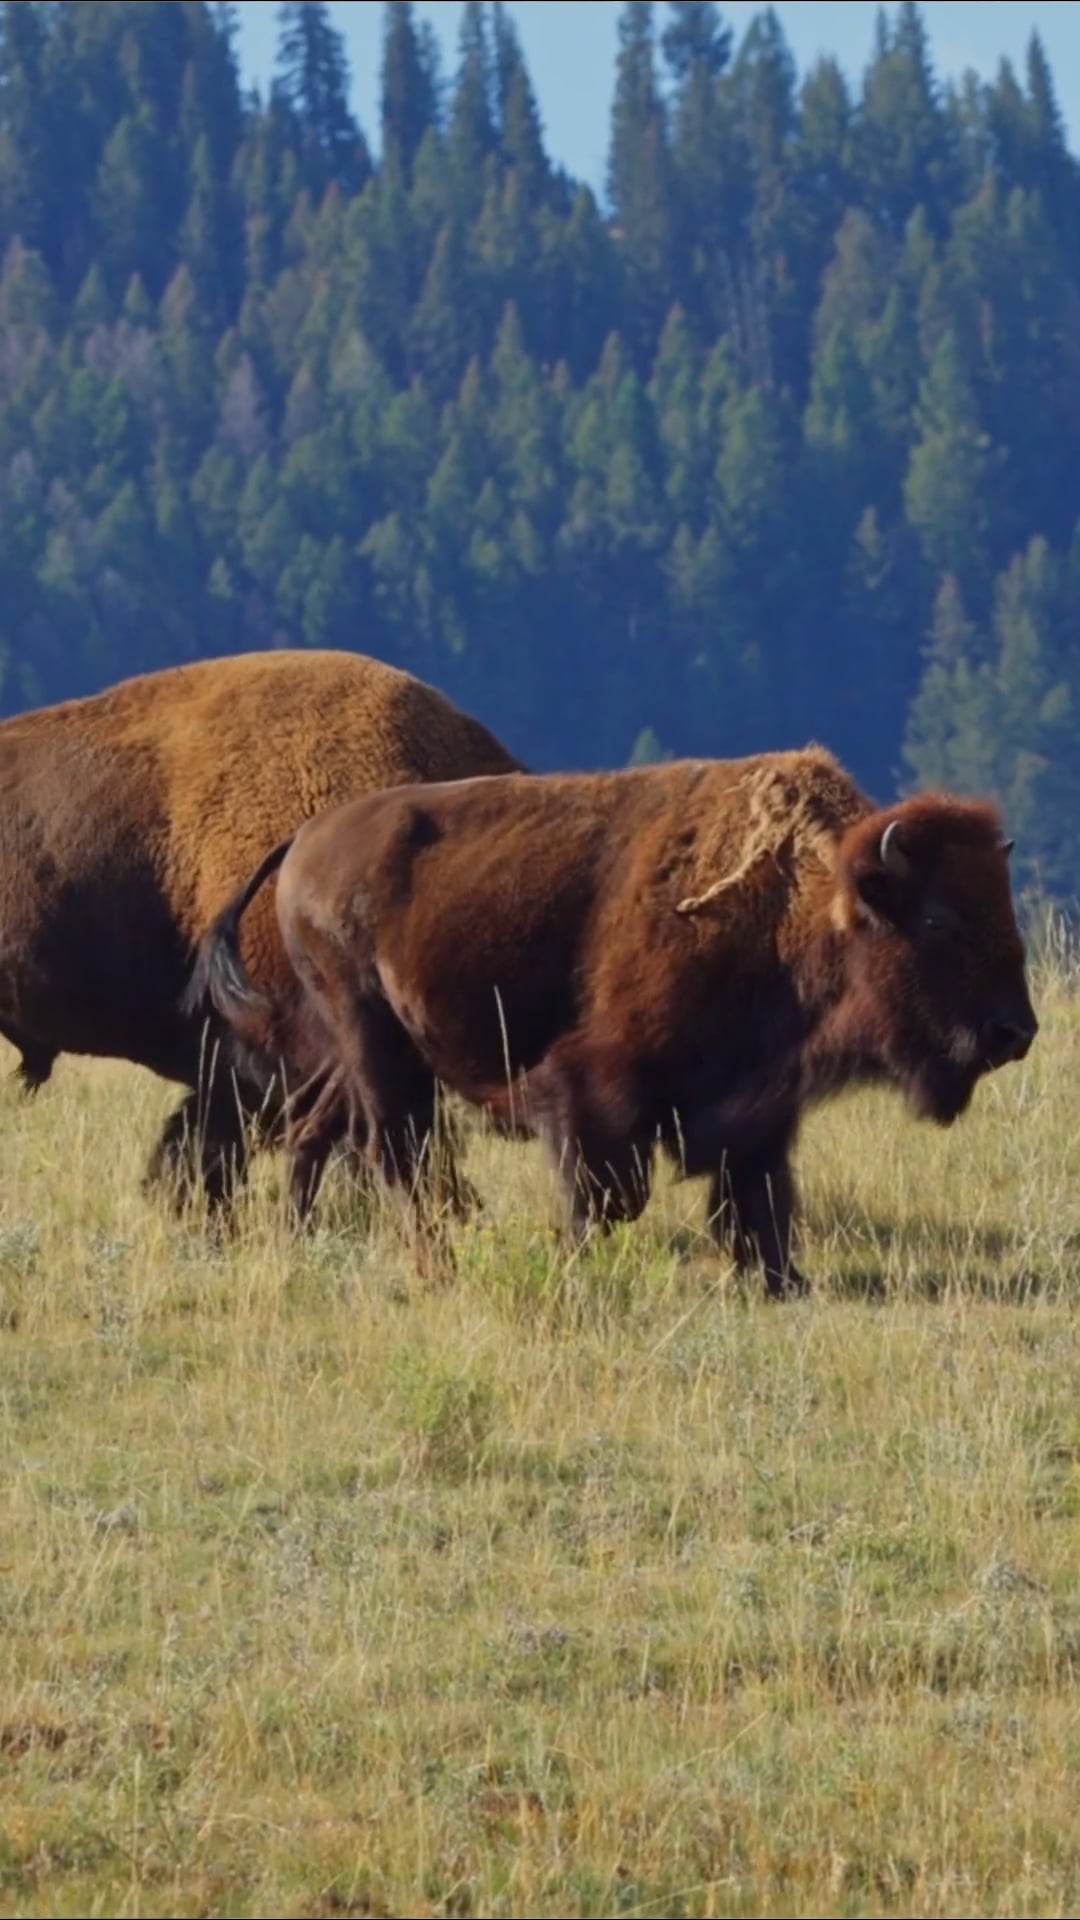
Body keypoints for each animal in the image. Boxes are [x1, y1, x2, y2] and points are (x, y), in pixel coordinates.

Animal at [192, 747, 1037, 1293]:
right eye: (936, 919)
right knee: (393, 1150)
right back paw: (440, 1270)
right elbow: (608, 1192)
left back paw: (298, 1245)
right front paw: (580, 1260)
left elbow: (760, 1193)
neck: (798, 903)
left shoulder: (762, 1105)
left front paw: (781, 1279)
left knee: (317, 1132)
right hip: (372, 1037)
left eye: (1000, 903)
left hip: (368, 1049)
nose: (1015, 1031)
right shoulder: (591, 1089)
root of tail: (307, 838)